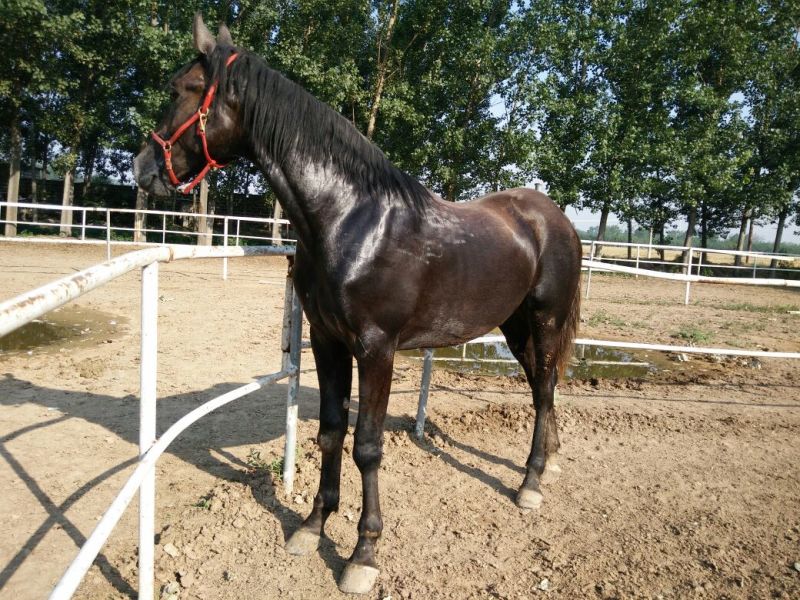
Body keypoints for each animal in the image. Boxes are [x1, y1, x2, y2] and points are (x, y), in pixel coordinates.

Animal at [134, 14, 582, 595]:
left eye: (181, 89)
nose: (142, 168)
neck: (350, 219)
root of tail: (554, 217)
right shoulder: (327, 341)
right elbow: (329, 431)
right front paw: (312, 525)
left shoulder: (376, 350)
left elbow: (366, 445)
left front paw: (363, 554)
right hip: (514, 326)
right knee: (539, 387)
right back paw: (546, 464)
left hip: (545, 319)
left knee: (545, 389)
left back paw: (529, 483)